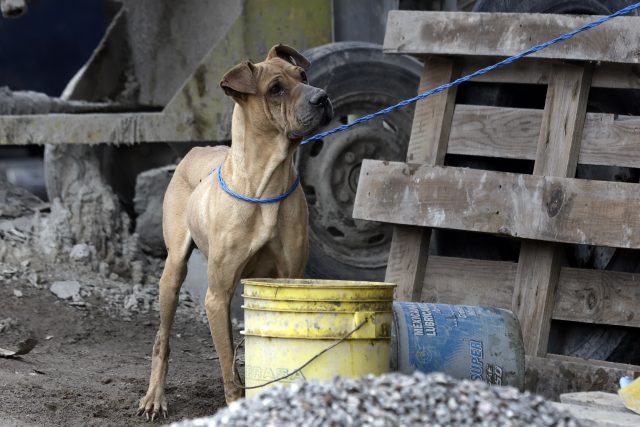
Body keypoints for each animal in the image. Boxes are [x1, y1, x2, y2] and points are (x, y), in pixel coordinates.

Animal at [137, 45, 332, 420]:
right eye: (275, 88)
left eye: (302, 76)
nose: (323, 97)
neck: (266, 183)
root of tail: (197, 149)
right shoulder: (216, 294)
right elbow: (227, 367)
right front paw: (234, 401)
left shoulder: (288, 279)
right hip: (173, 272)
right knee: (161, 341)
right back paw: (154, 396)